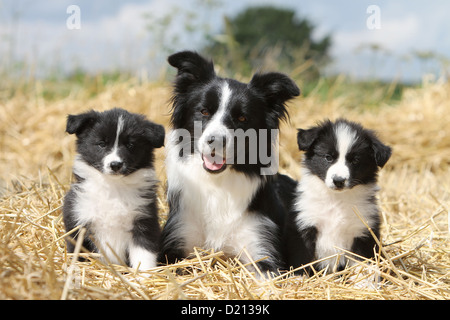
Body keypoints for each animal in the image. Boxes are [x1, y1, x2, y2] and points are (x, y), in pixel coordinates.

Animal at [61, 107, 163, 270]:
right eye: (102, 144)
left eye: (130, 145)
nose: (115, 165)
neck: (113, 187)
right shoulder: (77, 220)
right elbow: (77, 252)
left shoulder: (144, 222)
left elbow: (144, 256)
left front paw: (145, 275)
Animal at [158, 51, 298, 274]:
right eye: (204, 111)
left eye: (242, 118)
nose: (216, 140)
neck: (218, 184)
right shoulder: (175, 243)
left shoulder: (262, 251)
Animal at [284, 119, 392, 274]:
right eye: (328, 157)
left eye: (355, 160)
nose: (338, 180)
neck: (336, 200)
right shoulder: (305, 226)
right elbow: (301, 260)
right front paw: (298, 278)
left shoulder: (362, 232)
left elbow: (361, 263)